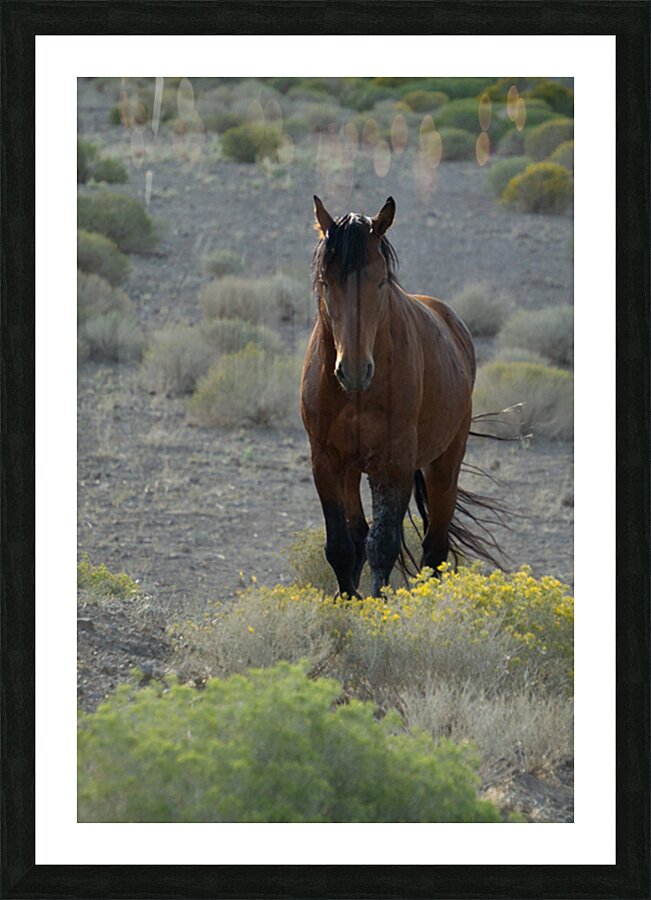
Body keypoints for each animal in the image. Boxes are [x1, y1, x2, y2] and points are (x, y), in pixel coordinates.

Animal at [300, 195, 484, 599]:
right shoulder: (326, 461)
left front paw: (378, 605)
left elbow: (384, 545)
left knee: (435, 548)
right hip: (355, 470)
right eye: (325, 281)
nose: (353, 370)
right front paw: (348, 602)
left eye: (381, 280)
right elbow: (342, 546)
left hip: (445, 463)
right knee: (361, 538)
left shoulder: (395, 463)